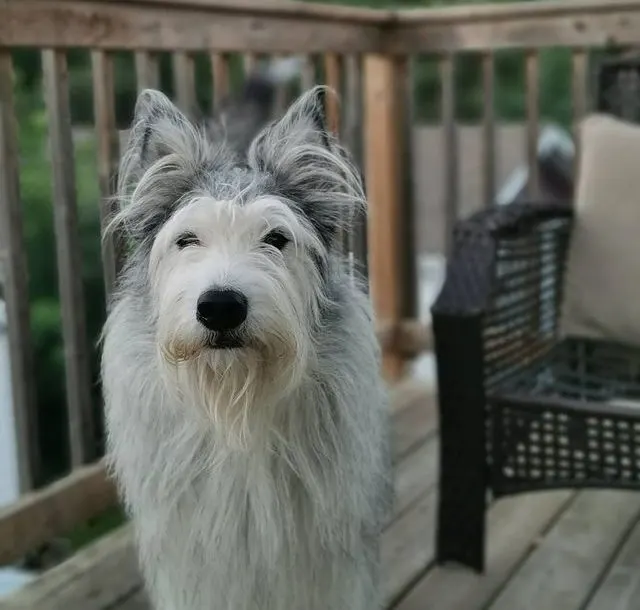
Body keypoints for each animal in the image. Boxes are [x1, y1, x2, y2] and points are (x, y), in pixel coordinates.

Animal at [101, 63, 390, 608]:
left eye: (276, 238)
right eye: (187, 239)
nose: (220, 308)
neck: (236, 402)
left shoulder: (323, 556)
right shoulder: (195, 558)